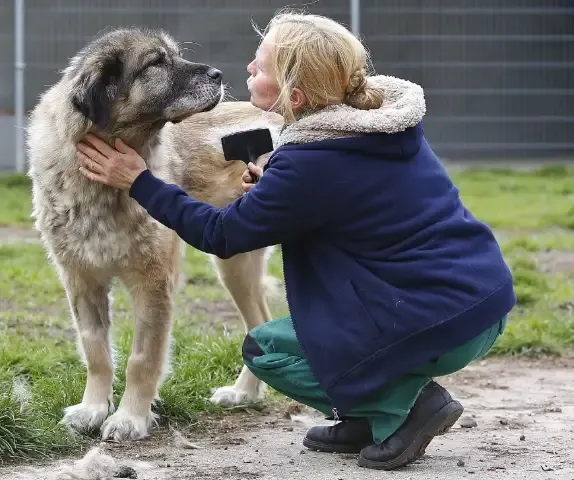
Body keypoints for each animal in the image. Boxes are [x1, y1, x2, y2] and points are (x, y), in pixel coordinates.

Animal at [27, 27, 284, 442]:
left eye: (173, 55)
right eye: (157, 63)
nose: (218, 75)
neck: (102, 188)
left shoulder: (152, 282)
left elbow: (142, 358)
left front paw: (130, 418)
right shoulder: (81, 279)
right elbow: (96, 350)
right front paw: (92, 410)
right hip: (234, 265)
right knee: (258, 321)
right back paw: (244, 393)